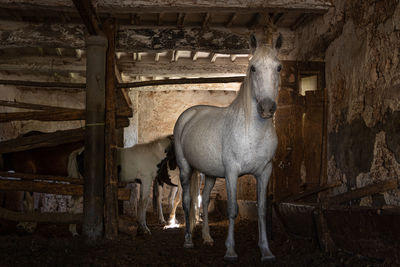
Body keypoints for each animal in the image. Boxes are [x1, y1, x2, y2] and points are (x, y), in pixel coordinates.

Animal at [174, 34, 282, 262]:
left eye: (279, 67)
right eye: (253, 68)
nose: (267, 108)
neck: (252, 131)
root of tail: (189, 114)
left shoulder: (264, 172)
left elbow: (261, 210)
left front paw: (266, 251)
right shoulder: (232, 172)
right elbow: (232, 210)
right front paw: (230, 250)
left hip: (210, 174)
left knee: (204, 200)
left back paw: (207, 238)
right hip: (185, 169)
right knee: (187, 202)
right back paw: (188, 240)